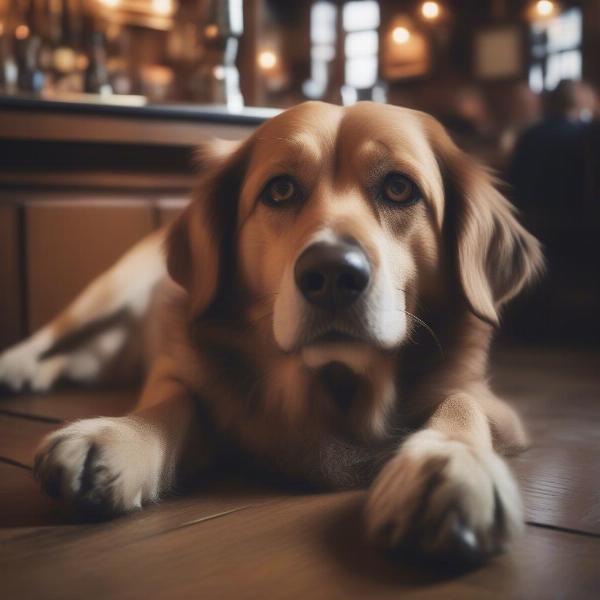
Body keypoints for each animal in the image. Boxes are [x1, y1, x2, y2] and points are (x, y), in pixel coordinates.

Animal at [0, 101, 544, 564]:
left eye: (398, 188)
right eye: (280, 191)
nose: (332, 274)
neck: (334, 388)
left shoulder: (490, 402)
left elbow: (460, 402)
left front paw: (447, 462)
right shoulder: (176, 371)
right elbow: (174, 402)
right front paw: (116, 437)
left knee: (75, 358)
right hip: (111, 288)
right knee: (53, 335)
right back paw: (17, 367)